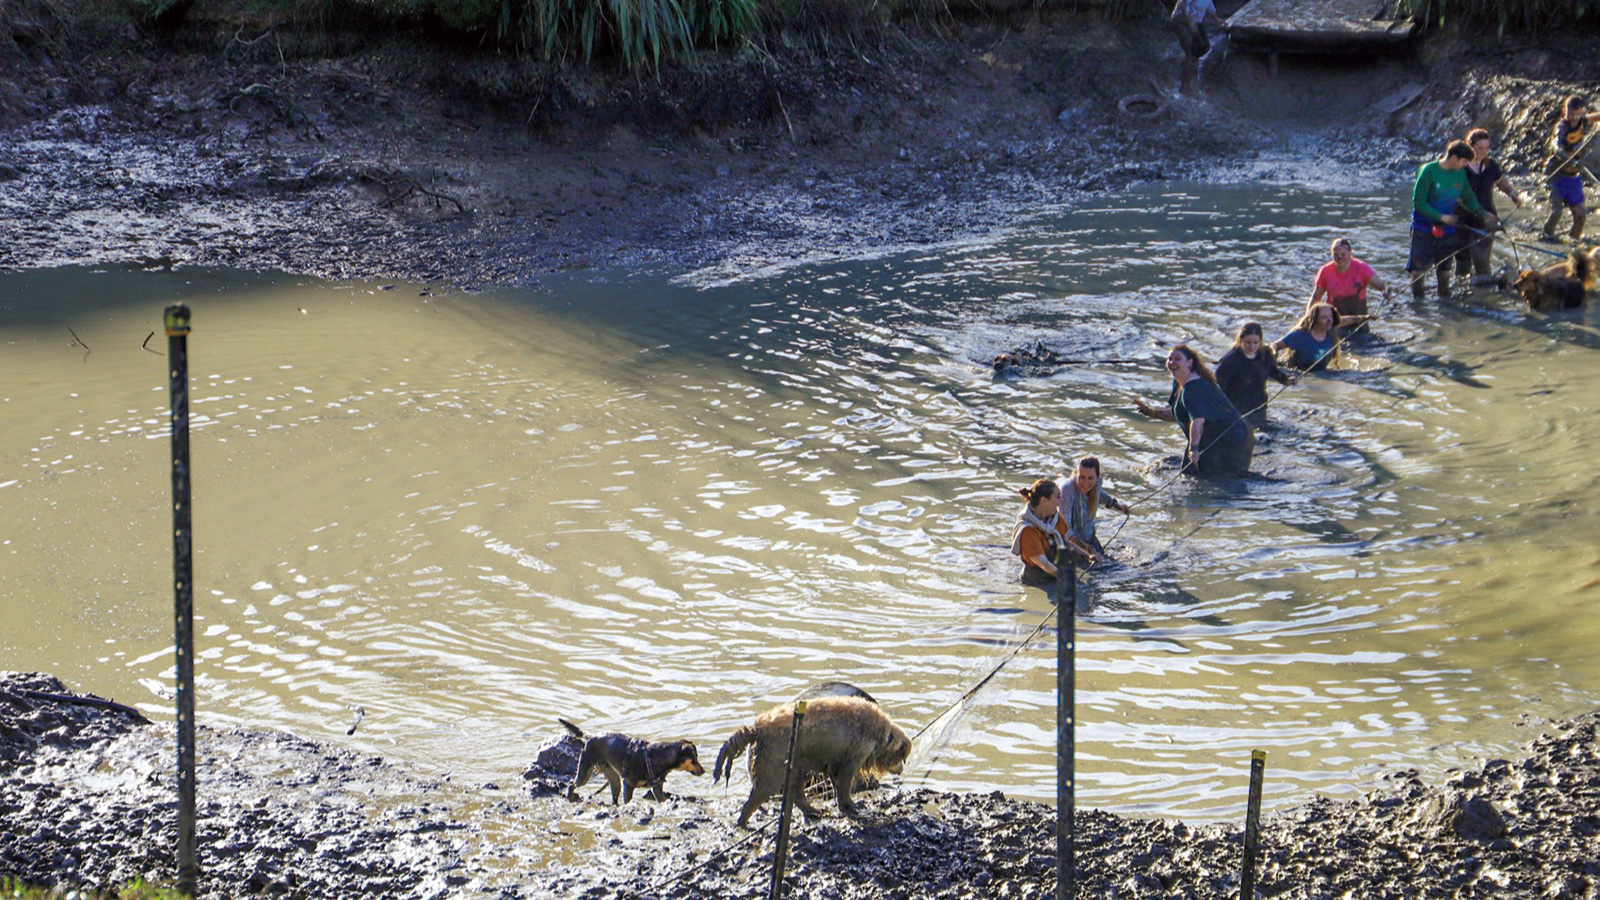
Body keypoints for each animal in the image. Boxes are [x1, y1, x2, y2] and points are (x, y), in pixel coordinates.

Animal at [560, 717, 704, 800]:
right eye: (694, 759)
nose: (703, 771)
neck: (658, 756)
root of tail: (591, 736)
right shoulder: (628, 785)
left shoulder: (657, 788)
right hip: (584, 773)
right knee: (572, 785)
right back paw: (570, 796)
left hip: (614, 779)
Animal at [713, 695, 915, 826]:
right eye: (902, 758)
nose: (902, 770)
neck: (881, 734)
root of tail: (757, 729)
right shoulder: (852, 758)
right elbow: (844, 785)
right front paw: (851, 807)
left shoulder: (835, 761)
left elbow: (836, 784)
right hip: (772, 769)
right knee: (753, 801)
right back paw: (742, 823)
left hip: (794, 766)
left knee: (796, 793)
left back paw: (812, 810)